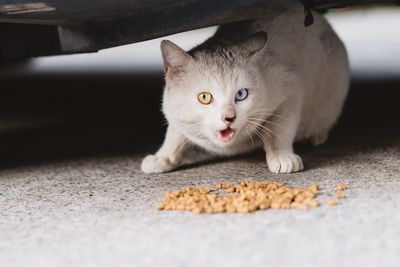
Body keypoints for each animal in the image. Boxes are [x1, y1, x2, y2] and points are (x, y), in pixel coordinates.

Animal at [141, 0, 346, 175]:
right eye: (204, 97)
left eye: (241, 94)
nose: (229, 117)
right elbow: (174, 134)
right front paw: (163, 157)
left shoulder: (289, 89)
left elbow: (279, 128)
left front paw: (281, 155)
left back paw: (317, 134)